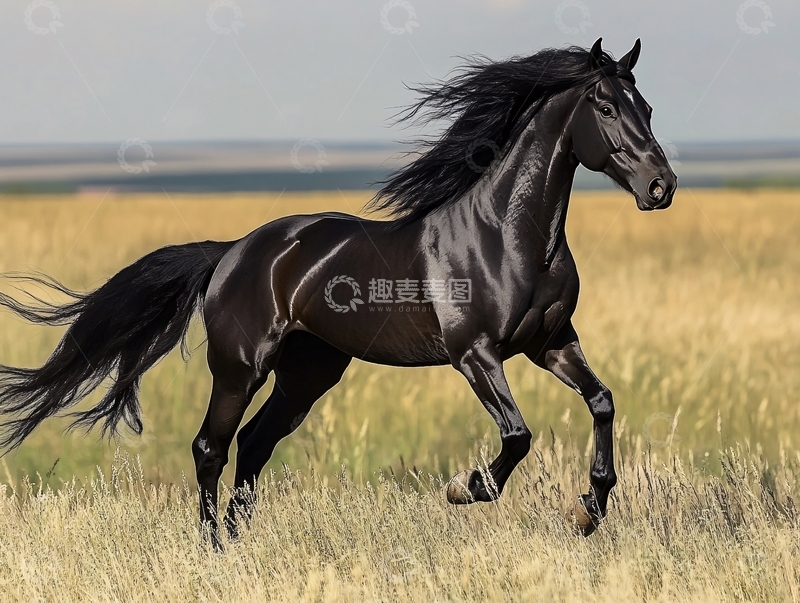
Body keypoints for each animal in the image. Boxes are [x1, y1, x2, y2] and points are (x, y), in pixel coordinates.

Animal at [0, 38, 675, 542]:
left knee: (254, 442)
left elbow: (602, 402)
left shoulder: (551, 343)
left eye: (645, 106)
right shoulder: (475, 354)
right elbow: (518, 434)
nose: (660, 187)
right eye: (607, 108)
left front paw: (589, 508)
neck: (509, 235)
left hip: (309, 371)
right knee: (211, 446)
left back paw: (240, 543)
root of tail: (233, 252)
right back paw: (213, 547)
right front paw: (465, 489)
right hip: (241, 367)